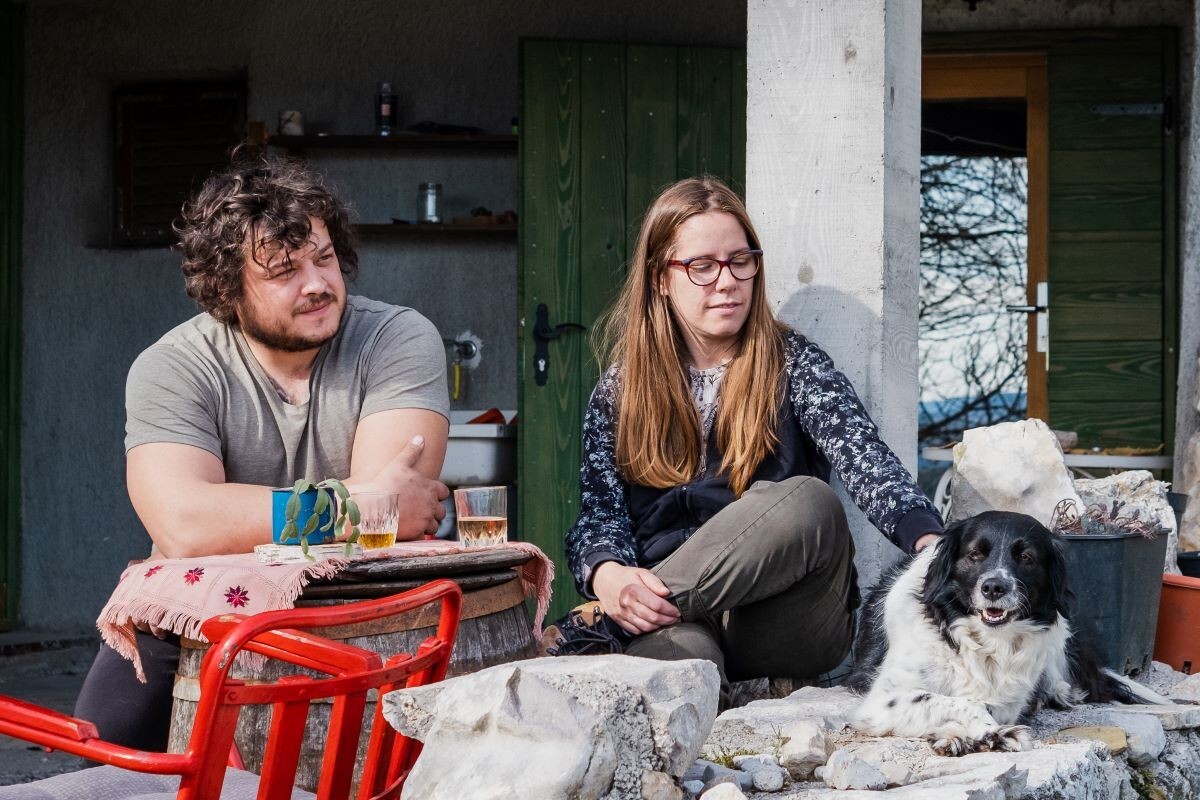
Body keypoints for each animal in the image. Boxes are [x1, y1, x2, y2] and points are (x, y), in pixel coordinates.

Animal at [844, 510, 1161, 753]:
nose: (994, 587)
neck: (985, 642)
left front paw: (978, 732)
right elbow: (960, 702)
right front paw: (978, 733)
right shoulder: (882, 700)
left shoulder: (1009, 697)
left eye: (1027, 558)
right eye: (974, 554)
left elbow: (980, 703)